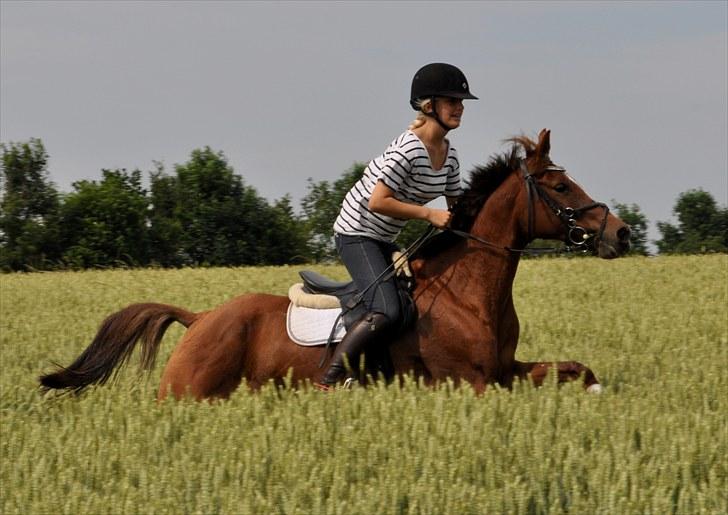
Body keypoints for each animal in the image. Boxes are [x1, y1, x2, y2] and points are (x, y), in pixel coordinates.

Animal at [39, 128, 632, 400]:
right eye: (561, 187)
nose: (621, 233)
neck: (469, 293)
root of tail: (200, 318)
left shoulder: (505, 370)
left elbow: (576, 369)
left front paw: (599, 395)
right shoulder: (468, 382)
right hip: (189, 393)